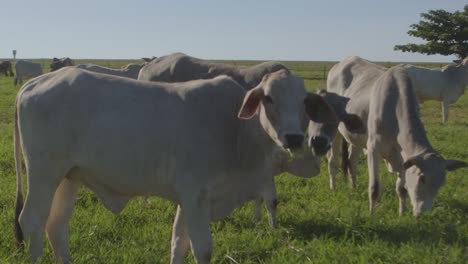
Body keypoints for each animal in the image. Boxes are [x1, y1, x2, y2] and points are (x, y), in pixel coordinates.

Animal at [15, 67, 336, 262]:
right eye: (268, 98)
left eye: (303, 101)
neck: (235, 130)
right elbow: (202, 249)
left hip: (69, 177)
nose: (294, 138)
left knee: (55, 226)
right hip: (43, 174)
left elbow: (178, 243)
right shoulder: (195, 197)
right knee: (31, 221)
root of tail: (34, 82)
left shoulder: (188, 200)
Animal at [368, 65, 466, 216]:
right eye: (422, 178)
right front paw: (372, 215)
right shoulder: (373, 148)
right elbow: (374, 188)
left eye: (441, 183)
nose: (423, 213)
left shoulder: (403, 158)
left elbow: (401, 189)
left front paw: (401, 213)